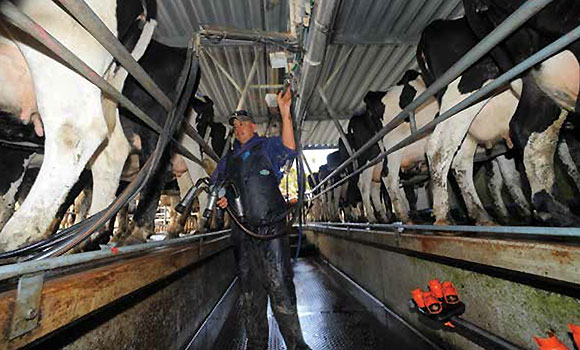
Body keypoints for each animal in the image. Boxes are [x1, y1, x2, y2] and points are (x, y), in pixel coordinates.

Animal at [0, 0, 157, 252]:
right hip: (107, 85)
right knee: (110, 151)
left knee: (75, 132)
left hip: (61, 51)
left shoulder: (11, 158)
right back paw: (89, 234)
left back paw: (16, 238)